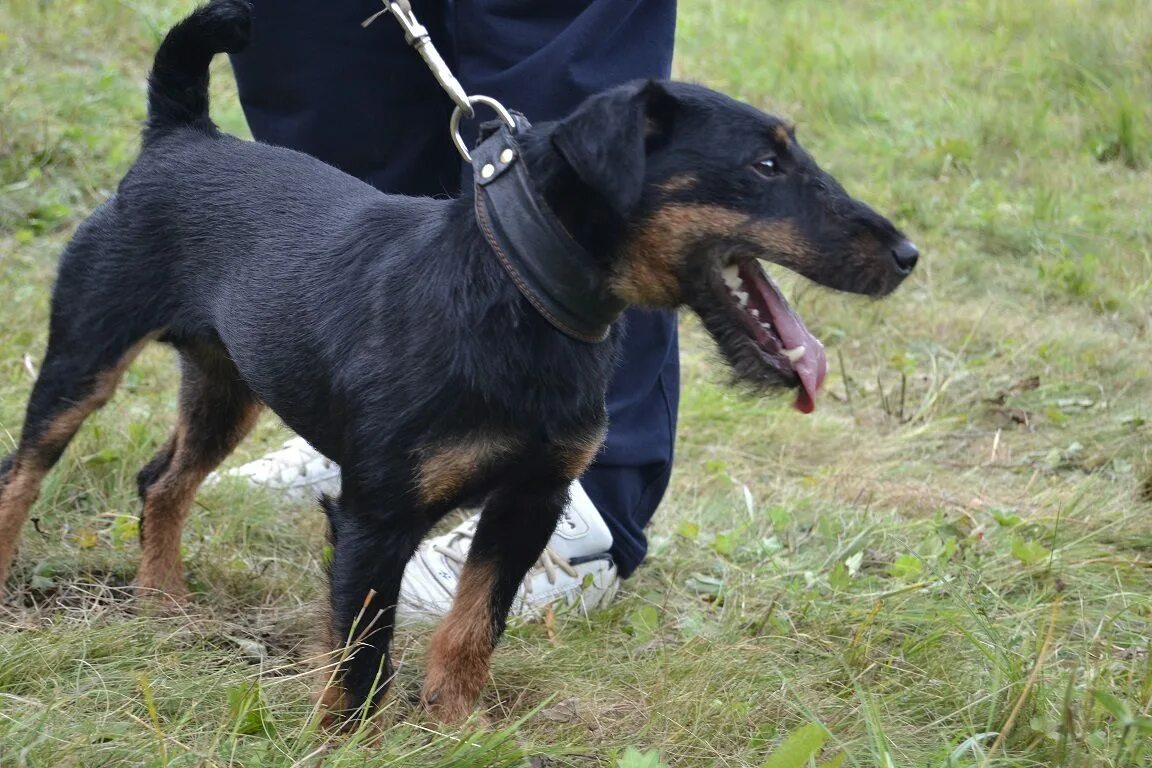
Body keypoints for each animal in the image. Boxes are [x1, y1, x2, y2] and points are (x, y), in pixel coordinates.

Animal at [0, 0, 916, 723]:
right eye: (765, 165)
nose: (907, 254)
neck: (516, 294)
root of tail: (178, 138)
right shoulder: (374, 521)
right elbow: (362, 660)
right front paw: (350, 744)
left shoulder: (529, 503)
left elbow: (474, 628)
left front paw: (458, 727)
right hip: (85, 357)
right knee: (25, 470)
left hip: (226, 386)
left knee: (162, 482)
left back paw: (163, 604)